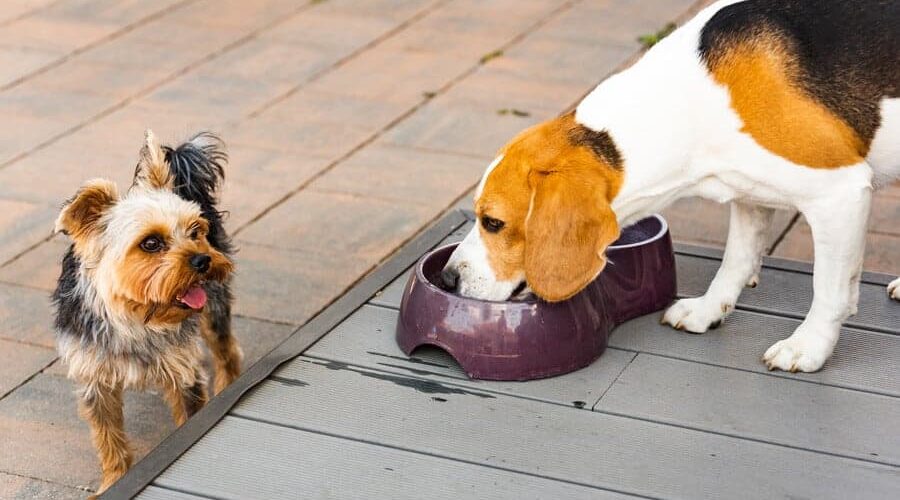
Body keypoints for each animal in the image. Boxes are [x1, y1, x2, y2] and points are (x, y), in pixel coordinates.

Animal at [52, 131, 243, 494]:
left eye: (194, 231)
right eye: (151, 243)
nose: (202, 260)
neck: (134, 315)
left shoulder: (183, 370)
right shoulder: (95, 380)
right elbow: (108, 438)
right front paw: (113, 480)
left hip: (214, 304)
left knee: (226, 348)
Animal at [444, 0, 900, 374]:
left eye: (493, 223)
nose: (447, 280)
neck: (689, 101)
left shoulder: (840, 193)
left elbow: (828, 288)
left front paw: (808, 347)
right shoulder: (749, 193)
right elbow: (735, 260)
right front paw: (709, 310)